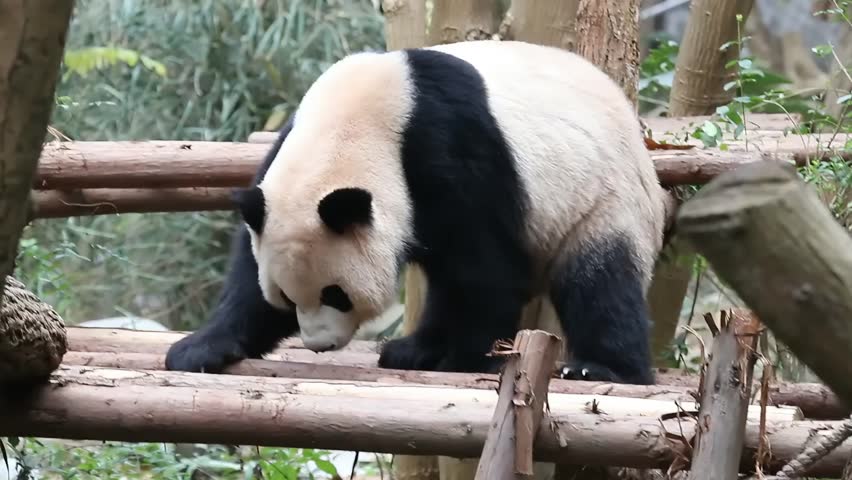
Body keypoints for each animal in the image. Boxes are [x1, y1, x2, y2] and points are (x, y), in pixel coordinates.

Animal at [165, 40, 667, 385]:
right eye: (288, 298)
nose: (319, 344)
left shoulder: (450, 147)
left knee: (600, 281)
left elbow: (487, 267)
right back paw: (414, 350)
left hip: (604, 196)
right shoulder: (281, 163)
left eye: (336, 294)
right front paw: (199, 349)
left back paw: (602, 368)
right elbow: (249, 276)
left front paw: (466, 358)